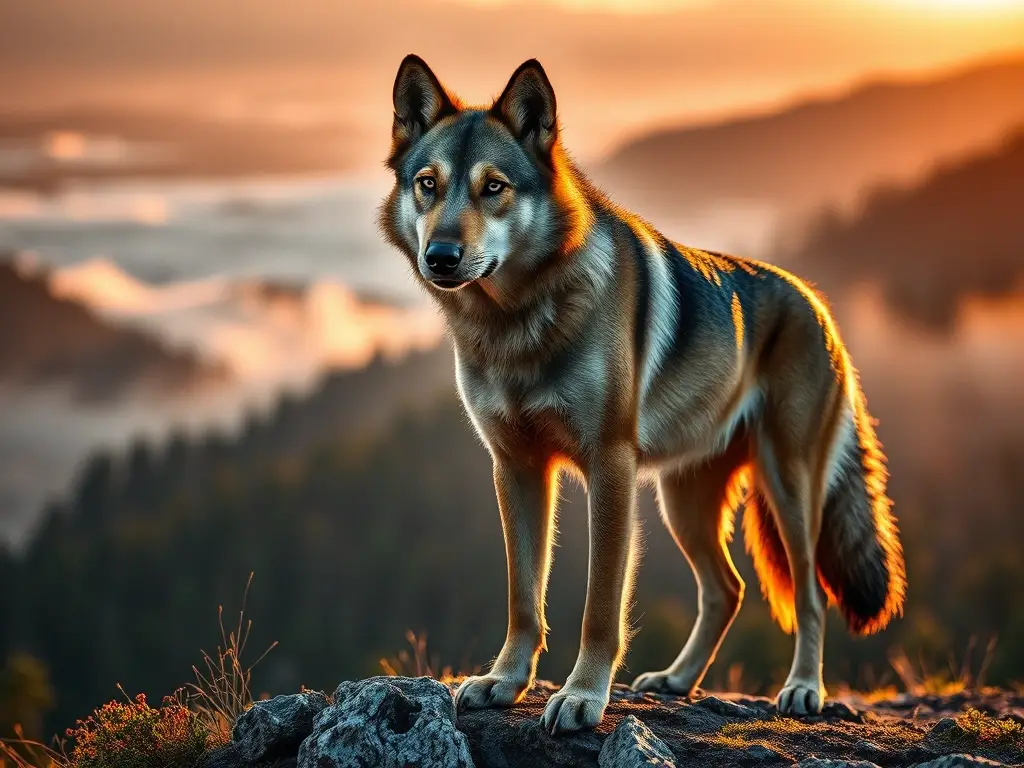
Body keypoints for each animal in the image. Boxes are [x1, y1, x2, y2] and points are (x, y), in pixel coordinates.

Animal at [379, 55, 906, 735]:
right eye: (428, 184)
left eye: (493, 187)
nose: (440, 255)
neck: (516, 324)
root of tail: (820, 306)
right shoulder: (516, 467)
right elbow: (524, 597)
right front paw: (504, 683)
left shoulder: (611, 469)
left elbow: (600, 606)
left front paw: (582, 697)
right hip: (683, 502)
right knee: (727, 590)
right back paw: (678, 681)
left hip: (785, 491)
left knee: (809, 595)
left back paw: (802, 690)